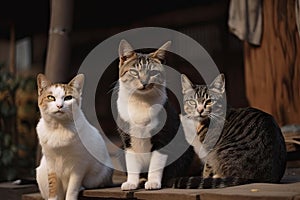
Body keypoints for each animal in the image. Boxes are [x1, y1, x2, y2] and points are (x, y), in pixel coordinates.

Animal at [115, 39, 195, 191]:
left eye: (153, 72)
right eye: (134, 71)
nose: (144, 82)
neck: (141, 102)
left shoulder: (163, 138)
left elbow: (156, 164)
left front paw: (153, 182)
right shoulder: (127, 140)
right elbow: (131, 164)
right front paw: (131, 183)